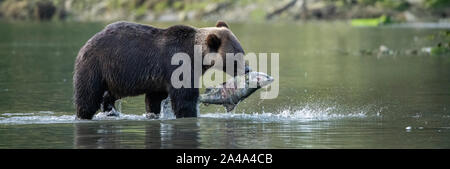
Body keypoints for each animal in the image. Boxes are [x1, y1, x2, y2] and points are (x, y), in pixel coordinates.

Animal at [74, 20, 250, 119]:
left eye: (242, 51)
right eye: (236, 56)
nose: (248, 69)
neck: (197, 56)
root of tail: (86, 44)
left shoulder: (158, 79)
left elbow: (154, 99)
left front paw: (153, 113)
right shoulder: (177, 65)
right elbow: (184, 98)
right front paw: (189, 114)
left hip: (114, 78)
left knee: (108, 95)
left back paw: (110, 110)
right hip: (97, 66)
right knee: (87, 96)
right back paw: (84, 114)